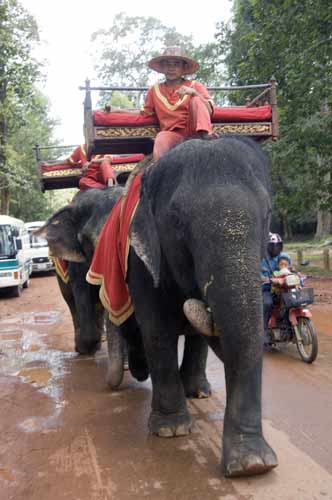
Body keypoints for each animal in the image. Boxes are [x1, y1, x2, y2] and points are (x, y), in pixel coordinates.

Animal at [39, 136, 278, 476]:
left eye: (268, 212)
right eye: (176, 221)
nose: (250, 467)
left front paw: (252, 463)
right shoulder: (135, 259)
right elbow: (156, 328)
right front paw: (171, 430)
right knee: (80, 306)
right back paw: (96, 352)